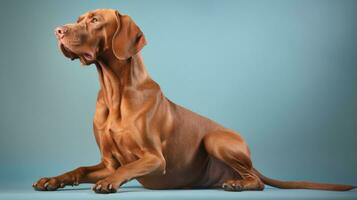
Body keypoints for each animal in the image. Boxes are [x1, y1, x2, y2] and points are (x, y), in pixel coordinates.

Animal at [32, 9, 354, 194]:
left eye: (95, 20)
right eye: (77, 20)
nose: (57, 31)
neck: (115, 93)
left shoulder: (154, 159)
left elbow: (125, 169)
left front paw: (109, 183)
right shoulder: (107, 161)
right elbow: (79, 169)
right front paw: (52, 180)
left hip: (215, 139)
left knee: (258, 181)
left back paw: (238, 184)